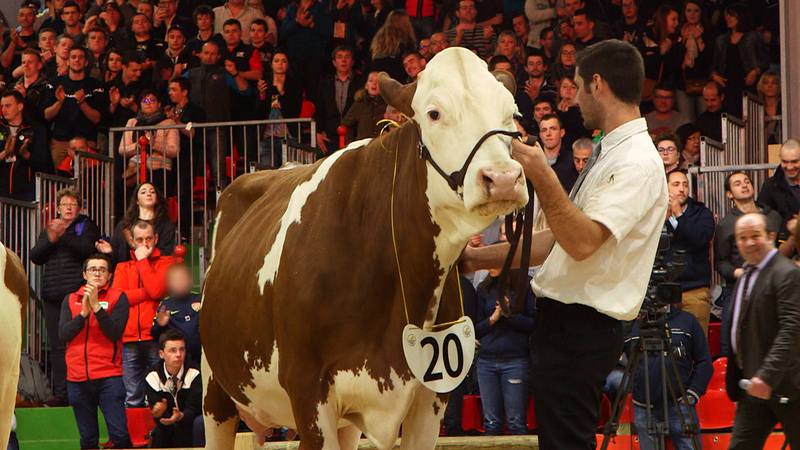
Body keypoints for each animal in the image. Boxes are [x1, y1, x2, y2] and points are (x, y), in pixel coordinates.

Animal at [199, 47, 524, 448]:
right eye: (434, 113)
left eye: (512, 114)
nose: (503, 178)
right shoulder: (306, 389)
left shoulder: (431, 395)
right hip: (215, 392)